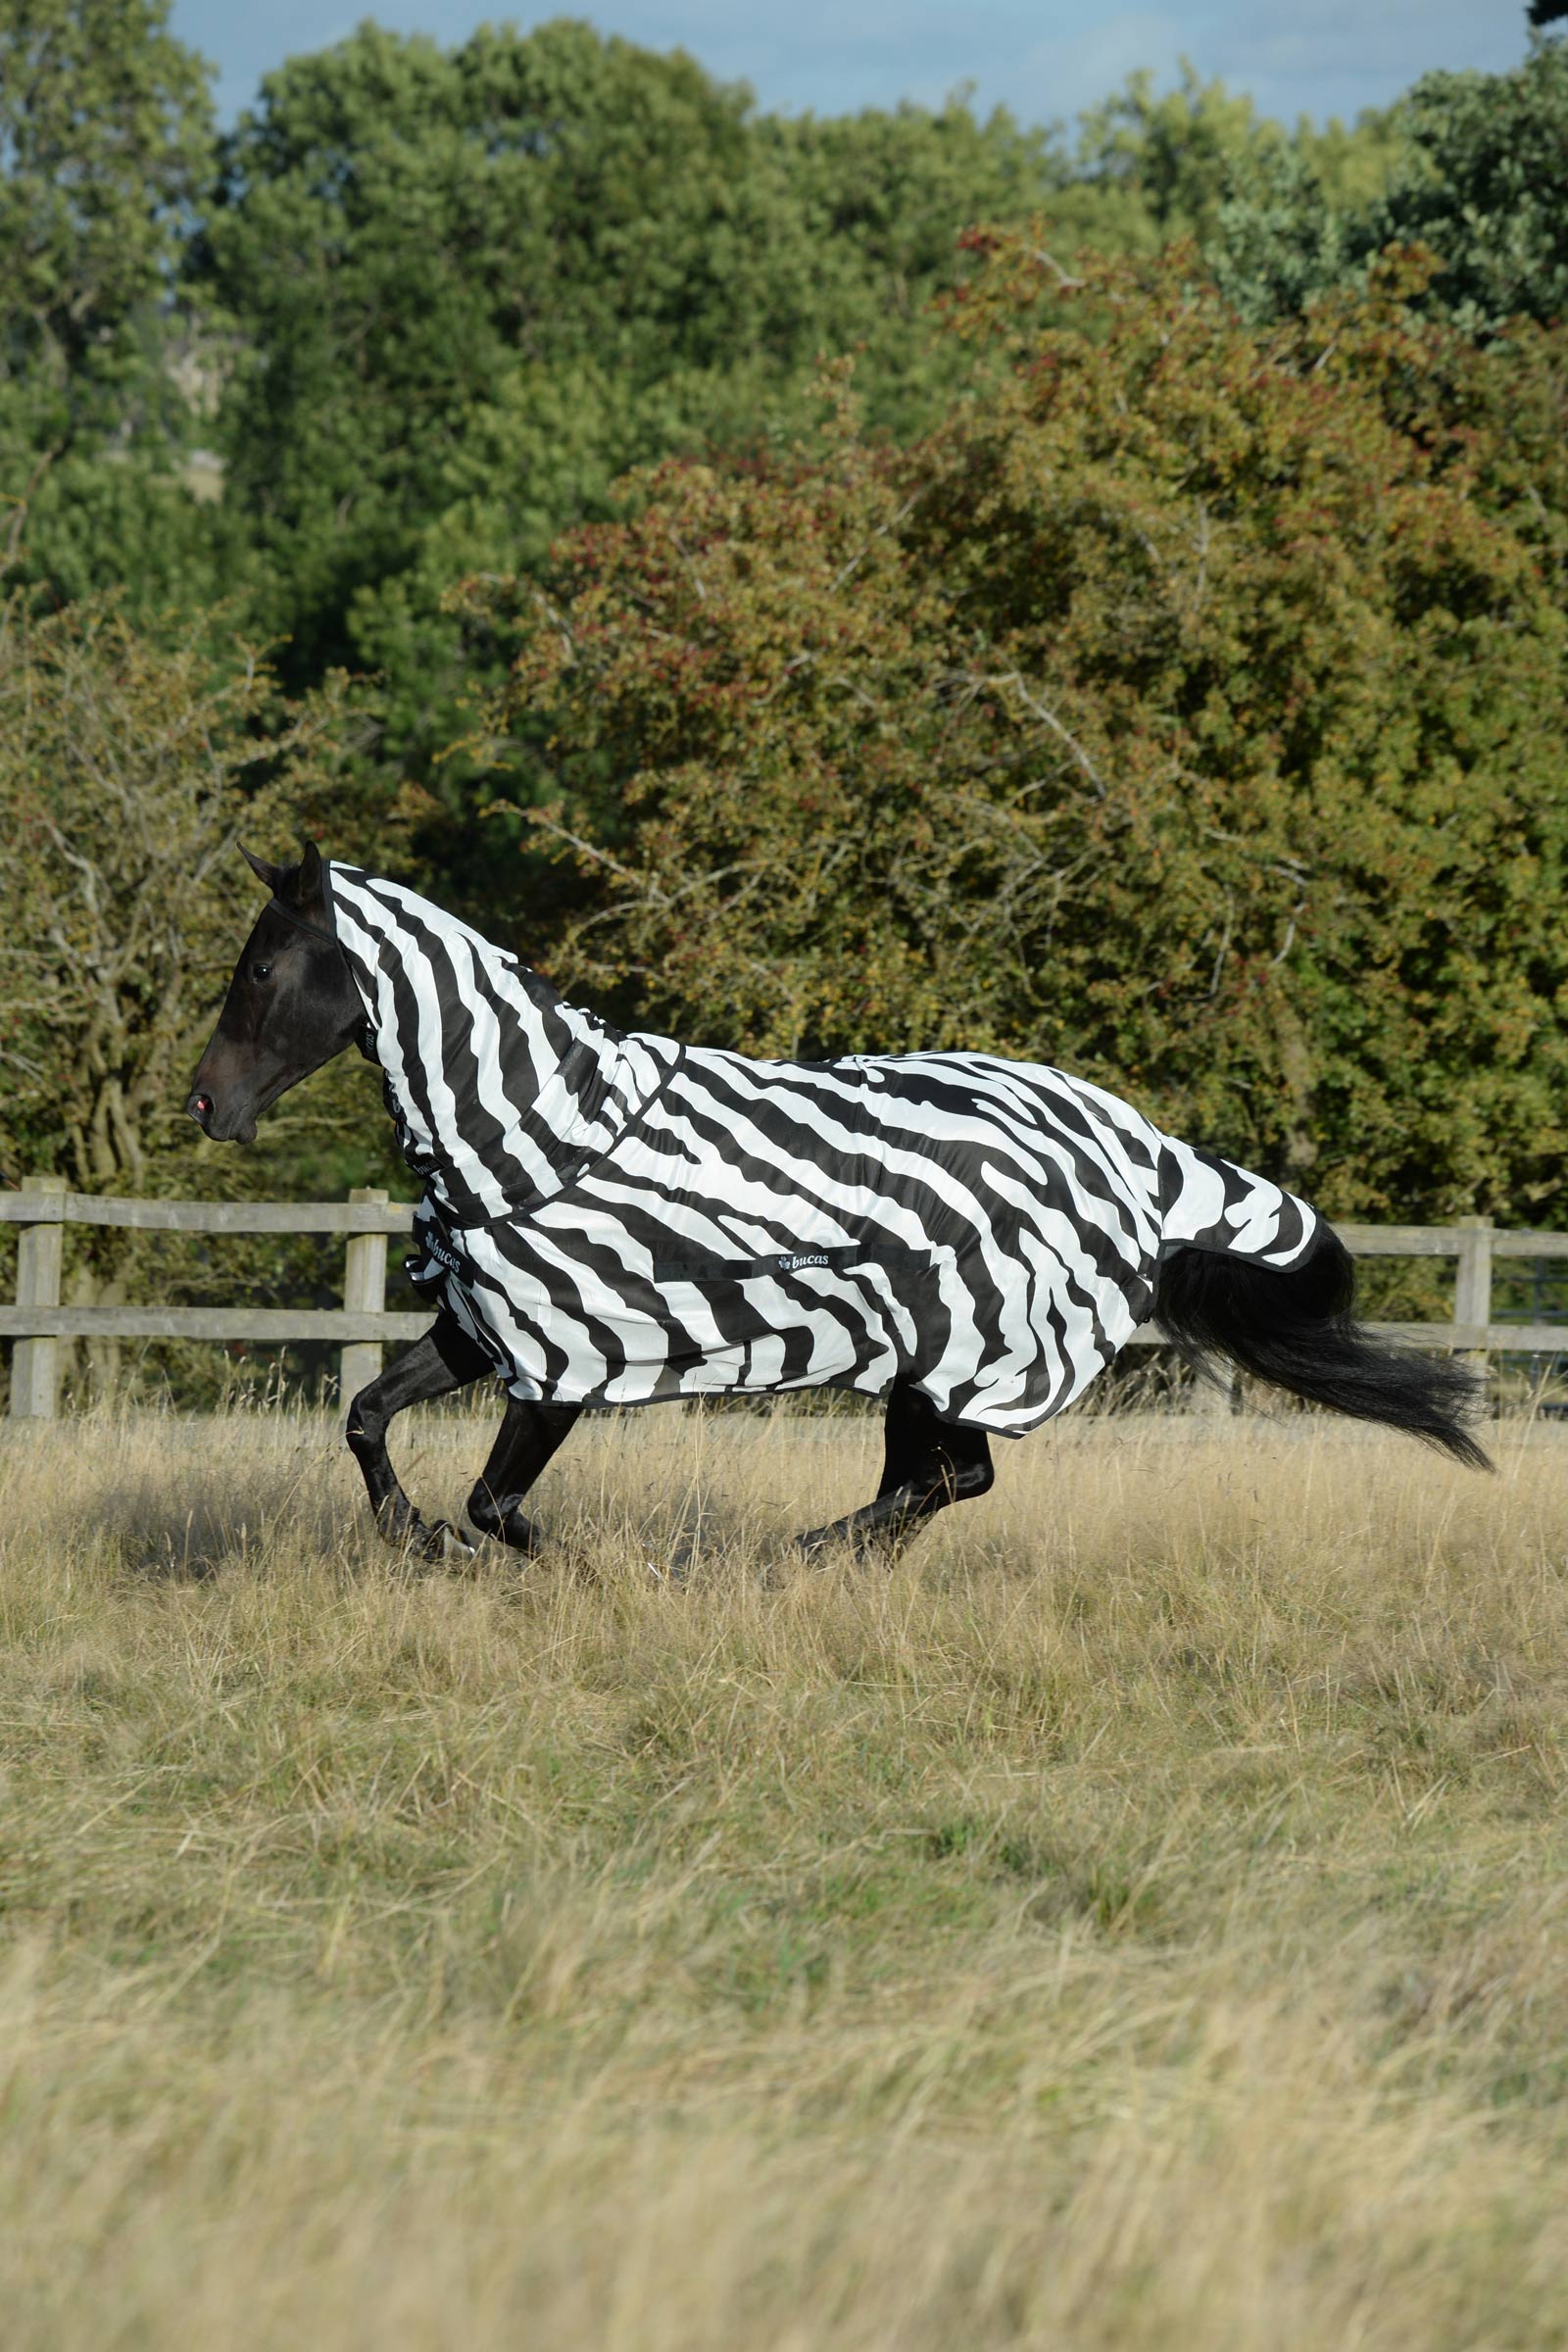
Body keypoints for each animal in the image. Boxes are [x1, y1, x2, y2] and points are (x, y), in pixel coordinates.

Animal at [188, 843, 1489, 1559]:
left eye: (262, 967)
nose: (204, 1106)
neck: (540, 1129)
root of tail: (1139, 1150)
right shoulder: (479, 1328)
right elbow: (366, 1417)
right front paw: (416, 1545)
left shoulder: (563, 1364)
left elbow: (496, 1503)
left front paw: (566, 1564)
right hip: (926, 1370)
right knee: (938, 1484)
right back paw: (824, 1559)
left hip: (956, 1361)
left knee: (943, 1481)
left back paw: (795, 1556)